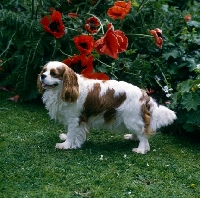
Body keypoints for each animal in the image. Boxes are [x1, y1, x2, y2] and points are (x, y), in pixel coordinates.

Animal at [37, 61, 177, 154]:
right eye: (44, 71)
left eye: (53, 73)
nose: (42, 76)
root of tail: (145, 95)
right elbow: (70, 133)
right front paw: (66, 138)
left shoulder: (75, 119)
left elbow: (72, 133)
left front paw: (65, 145)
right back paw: (132, 137)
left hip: (131, 119)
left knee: (143, 134)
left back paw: (141, 149)